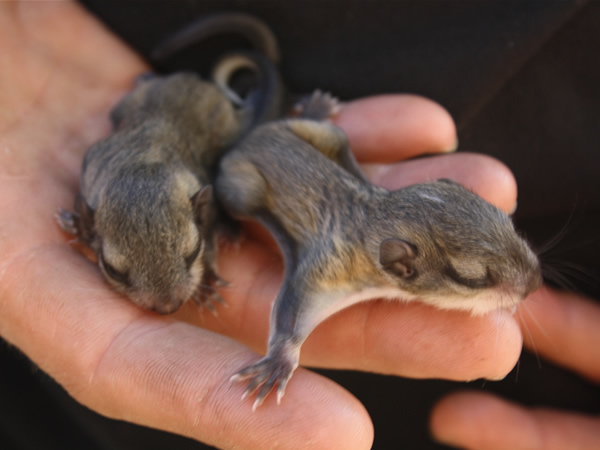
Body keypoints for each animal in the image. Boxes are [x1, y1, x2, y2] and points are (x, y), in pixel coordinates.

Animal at [216, 91, 544, 408]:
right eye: (472, 277)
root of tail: (253, 137)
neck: (373, 217)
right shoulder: (327, 266)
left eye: (507, 221)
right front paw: (279, 362)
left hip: (327, 136)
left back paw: (315, 110)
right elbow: (291, 306)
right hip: (243, 190)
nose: (537, 283)